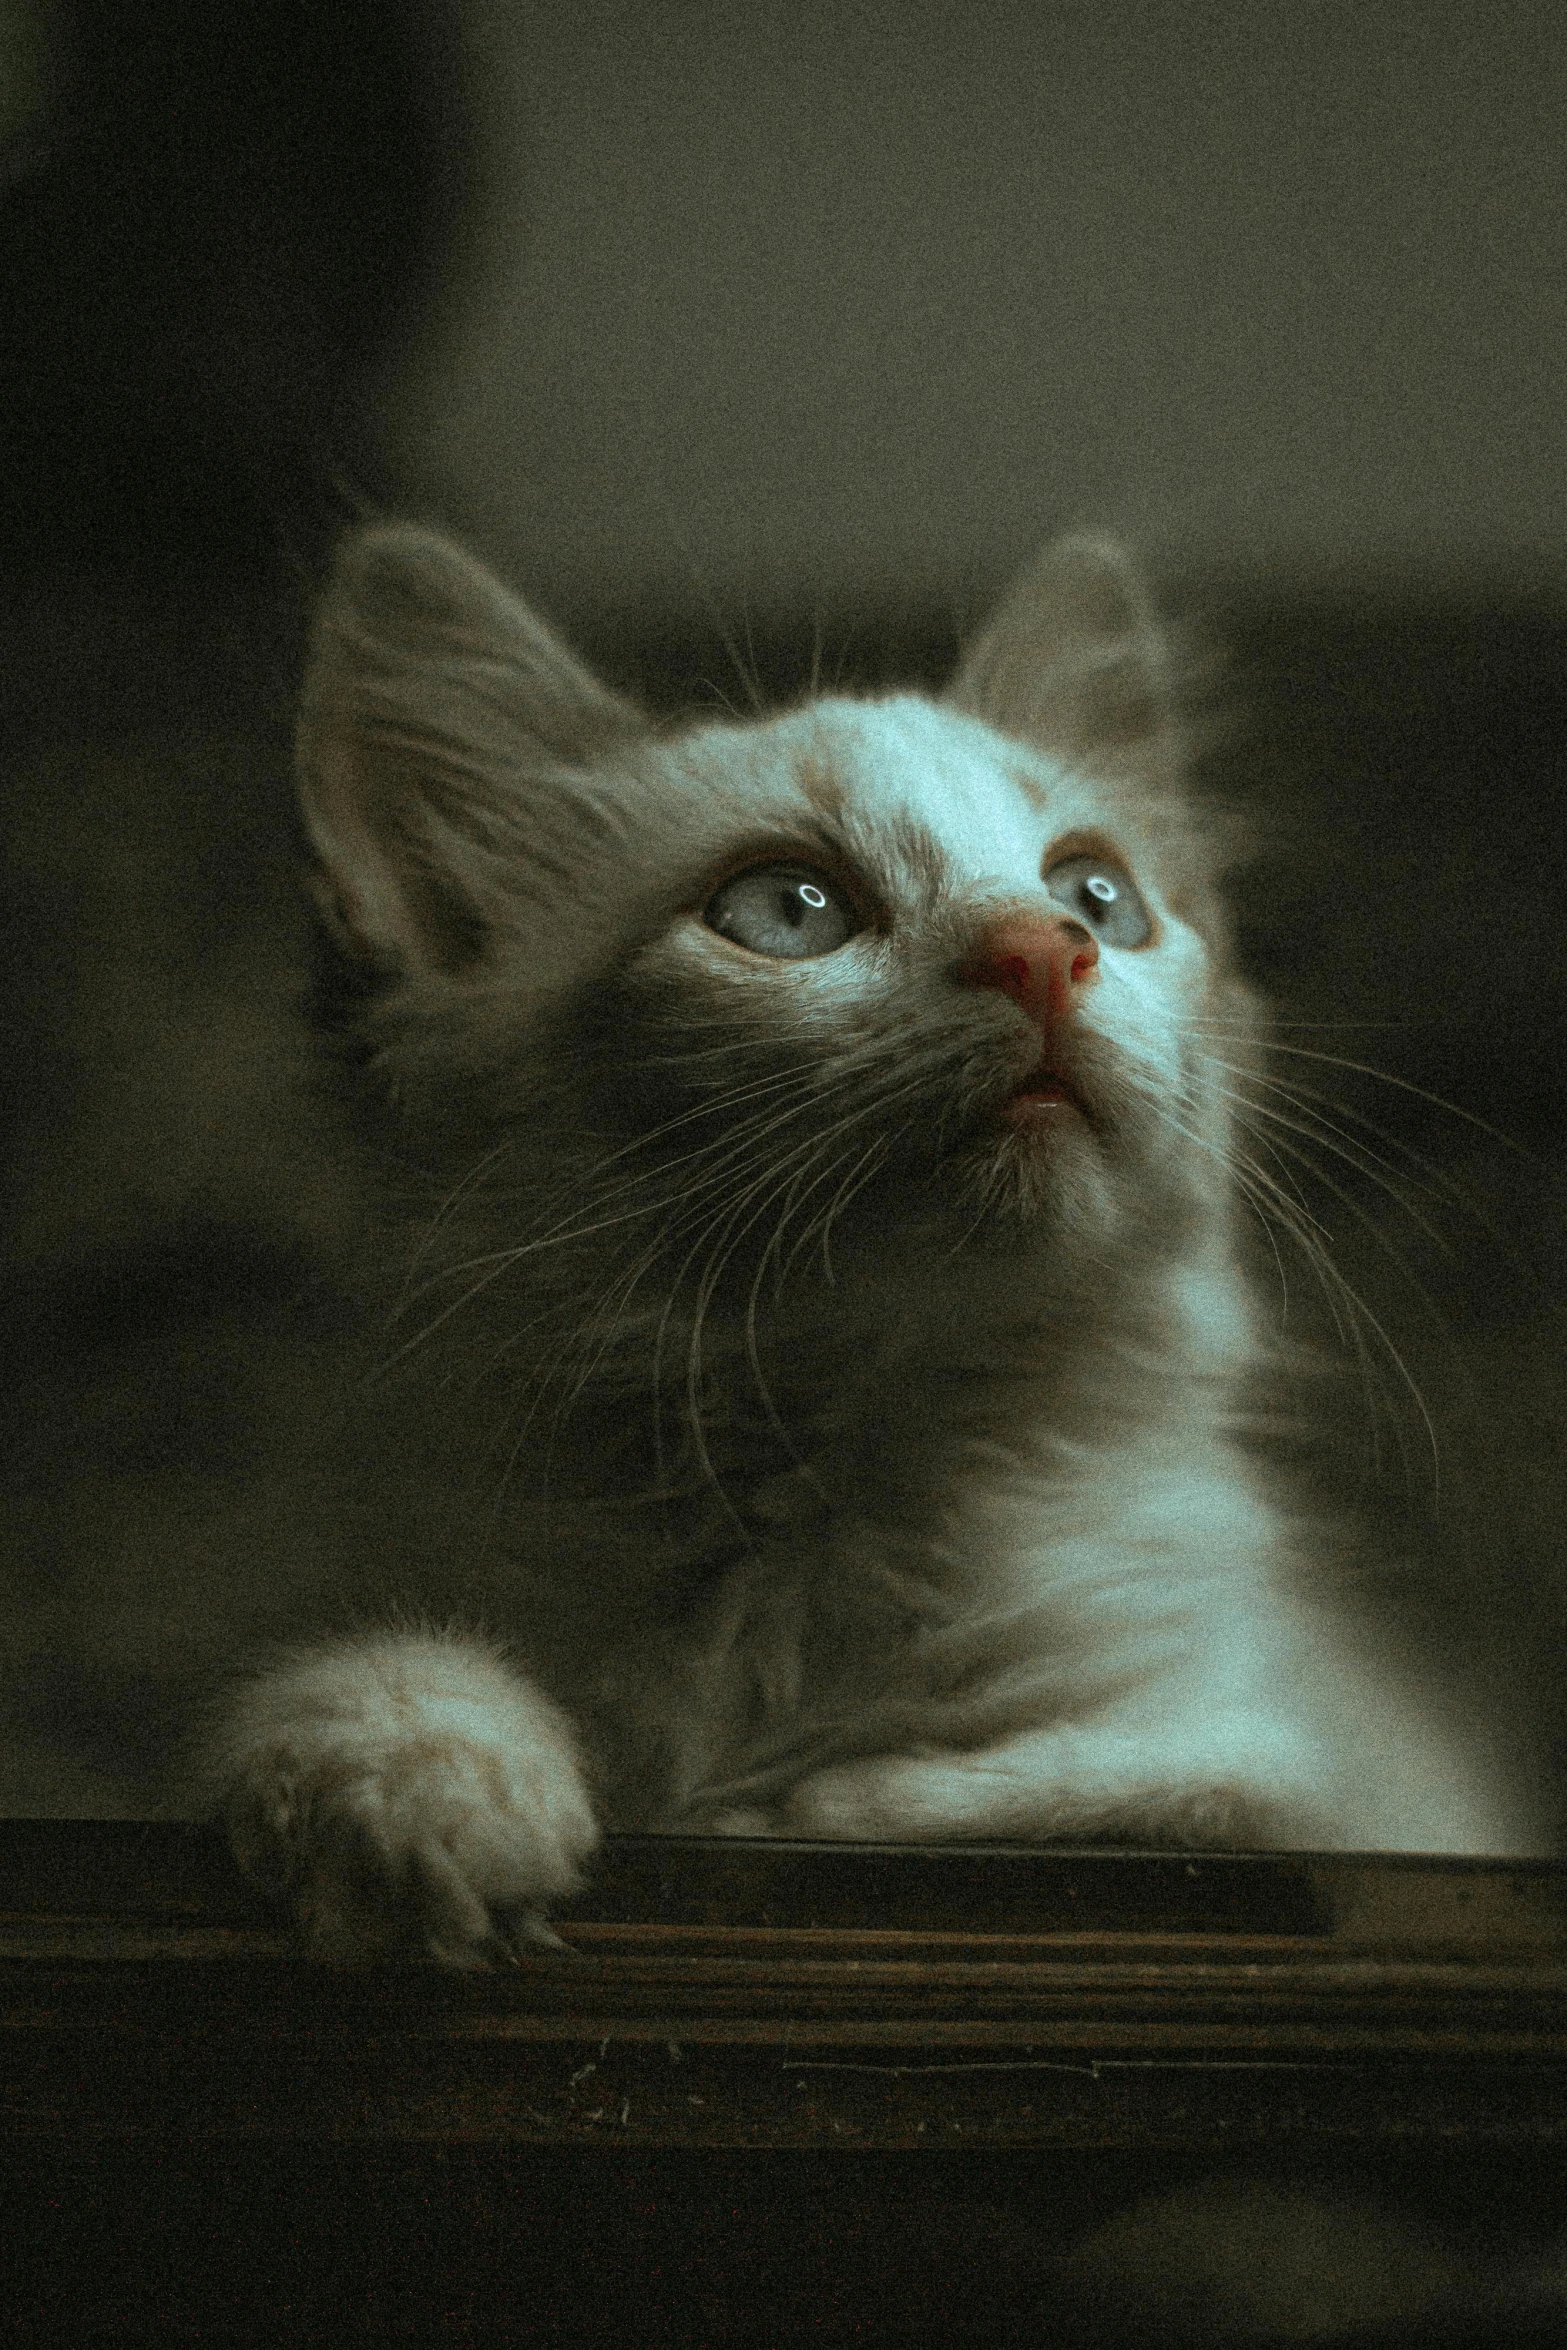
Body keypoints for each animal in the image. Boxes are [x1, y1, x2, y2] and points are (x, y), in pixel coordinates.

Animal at [199, 519, 1531, 1964]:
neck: (842, 1493)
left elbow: (1179, 1778)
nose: (1044, 948)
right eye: (787, 909)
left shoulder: (1344, 1793)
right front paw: (427, 1801)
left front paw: (804, 1804)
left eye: (1097, 895)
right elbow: (349, 1682)